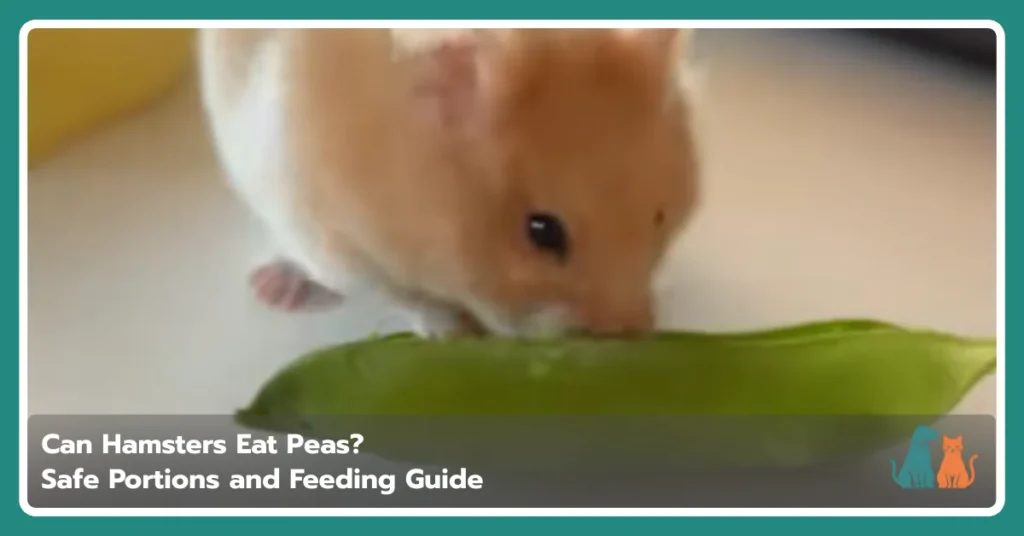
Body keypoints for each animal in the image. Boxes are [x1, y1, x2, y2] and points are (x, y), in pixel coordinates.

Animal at [197, 28, 702, 338]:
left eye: (659, 217)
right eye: (541, 232)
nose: (636, 333)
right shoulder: (330, 238)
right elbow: (401, 295)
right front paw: (457, 332)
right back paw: (273, 288)